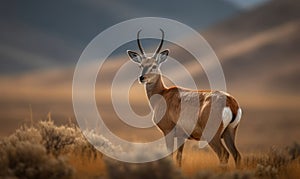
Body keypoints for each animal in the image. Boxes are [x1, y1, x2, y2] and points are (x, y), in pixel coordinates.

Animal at [127, 28, 243, 167]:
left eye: (154, 65)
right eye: (140, 65)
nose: (142, 78)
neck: (163, 94)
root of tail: (230, 102)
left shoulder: (168, 132)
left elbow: (170, 156)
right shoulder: (181, 137)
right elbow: (179, 158)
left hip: (213, 136)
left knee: (223, 154)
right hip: (229, 133)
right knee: (236, 155)